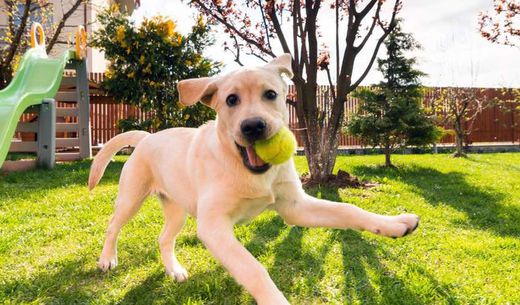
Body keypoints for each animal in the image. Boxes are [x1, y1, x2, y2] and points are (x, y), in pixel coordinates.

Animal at [89, 53, 418, 302]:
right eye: (231, 100)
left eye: (270, 94)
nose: (253, 127)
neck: (245, 168)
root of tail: (147, 136)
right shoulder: (214, 226)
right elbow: (254, 269)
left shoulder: (295, 207)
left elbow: (348, 210)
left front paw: (394, 224)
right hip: (132, 198)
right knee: (112, 226)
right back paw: (107, 259)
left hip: (177, 209)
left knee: (164, 237)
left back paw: (174, 270)